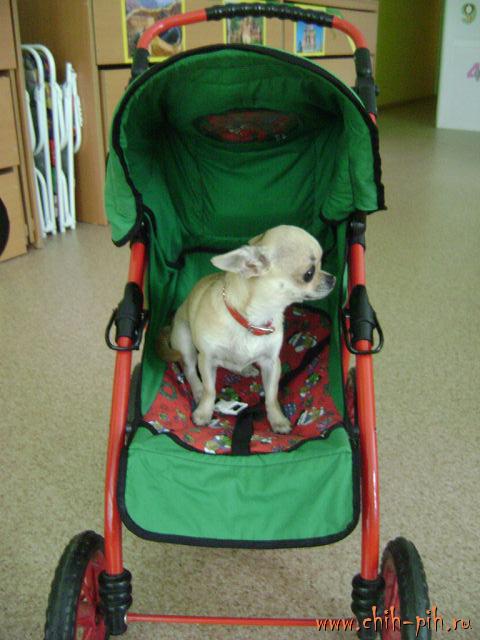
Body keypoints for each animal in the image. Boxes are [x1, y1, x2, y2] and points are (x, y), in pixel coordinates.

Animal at [159, 225, 336, 434]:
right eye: (309, 273)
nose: (332, 278)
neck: (252, 321)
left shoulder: (271, 363)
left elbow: (271, 396)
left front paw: (277, 419)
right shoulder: (207, 359)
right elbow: (211, 390)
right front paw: (204, 412)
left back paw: (246, 369)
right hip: (185, 343)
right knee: (189, 370)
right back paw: (198, 389)